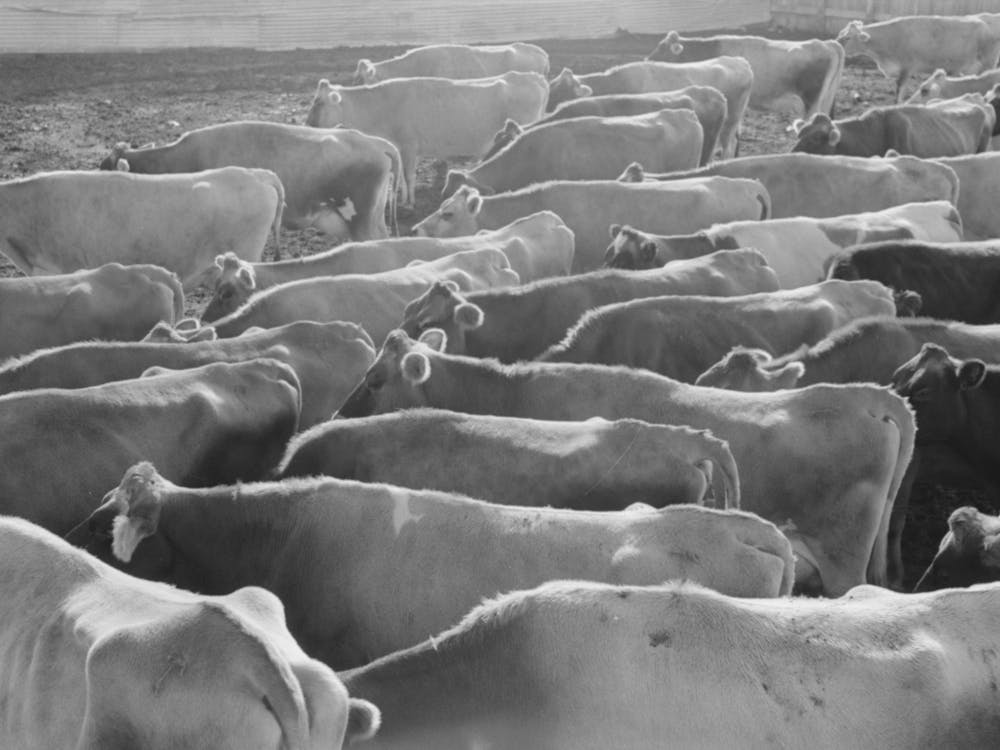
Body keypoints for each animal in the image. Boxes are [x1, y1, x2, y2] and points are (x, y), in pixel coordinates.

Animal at [305, 73, 547, 207]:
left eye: (318, 102)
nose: (307, 125)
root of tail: (532, 77)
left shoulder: (409, 147)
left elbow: (409, 176)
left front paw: (409, 203)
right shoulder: (400, 150)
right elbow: (403, 178)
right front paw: (403, 199)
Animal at [836, 16, 1000, 101]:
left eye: (848, 38)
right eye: (841, 33)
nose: (835, 43)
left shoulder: (907, 67)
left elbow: (899, 89)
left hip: (988, 63)